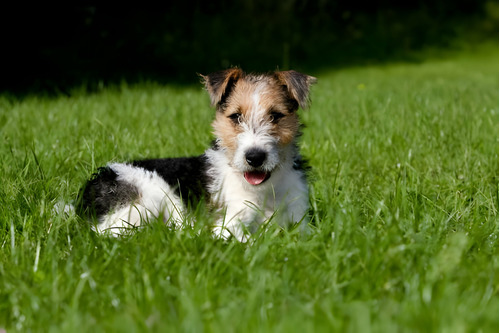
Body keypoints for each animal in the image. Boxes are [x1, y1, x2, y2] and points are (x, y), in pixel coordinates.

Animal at [75, 67, 316, 240]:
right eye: (236, 117)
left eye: (275, 116)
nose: (255, 157)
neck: (266, 189)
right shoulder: (228, 225)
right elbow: (248, 241)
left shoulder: (299, 220)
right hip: (146, 201)